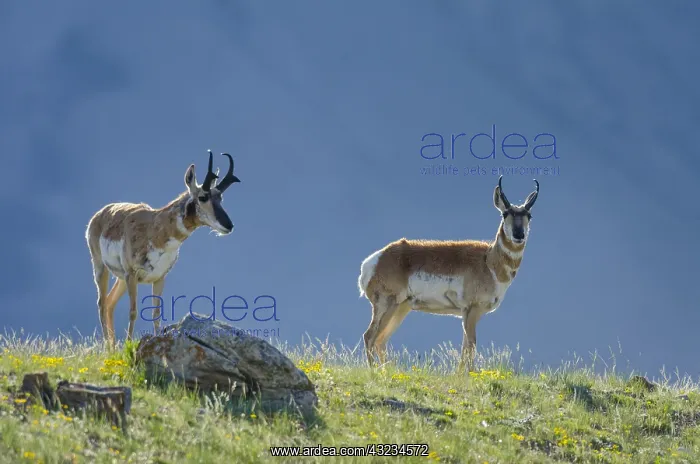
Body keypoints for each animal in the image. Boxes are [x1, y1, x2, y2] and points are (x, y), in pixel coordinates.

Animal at [86, 150, 241, 347]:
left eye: (220, 197)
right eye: (203, 197)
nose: (229, 225)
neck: (155, 228)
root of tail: (101, 213)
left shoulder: (159, 278)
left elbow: (156, 313)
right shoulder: (132, 274)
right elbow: (133, 312)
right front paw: (129, 346)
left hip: (121, 278)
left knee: (110, 303)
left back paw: (112, 346)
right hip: (101, 267)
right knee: (102, 302)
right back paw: (108, 347)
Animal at [358, 176, 539, 372]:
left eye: (529, 216)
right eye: (505, 214)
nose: (519, 235)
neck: (488, 261)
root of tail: (374, 260)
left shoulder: (468, 313)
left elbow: (465, 347)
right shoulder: (472, 310)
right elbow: (471, 345)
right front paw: (470, 374)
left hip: (401, 308)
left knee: (380, 340)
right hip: (388, 304)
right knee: (370, 336)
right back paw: (375, 372)